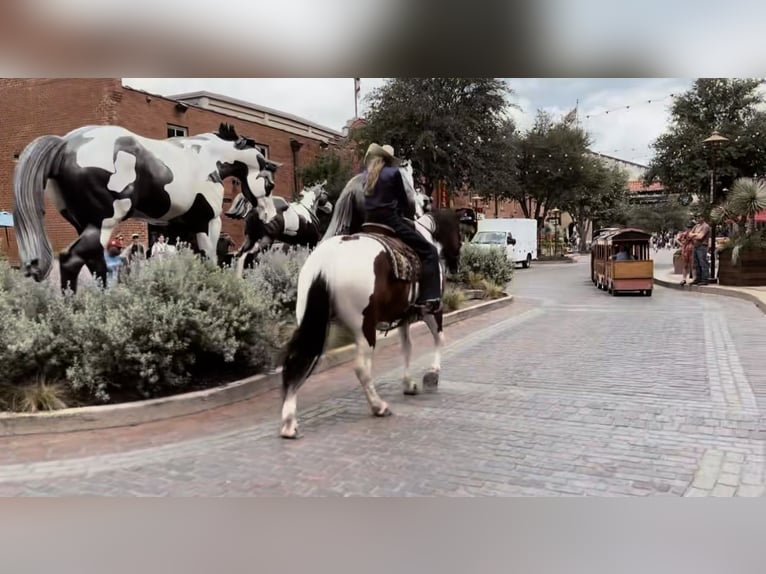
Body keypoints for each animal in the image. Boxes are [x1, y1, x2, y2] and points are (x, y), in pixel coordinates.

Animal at [12, 122, 280, 292]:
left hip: (86, 225)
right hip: (104, 222)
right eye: (269, 184)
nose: (271, 217)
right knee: (71, 258)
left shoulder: (181, 227)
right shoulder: (208, 222)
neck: (205, 158)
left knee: (94, 261)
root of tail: (66, 145)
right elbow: (209, 258)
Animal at [280, 205, 462, 438]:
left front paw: (408, 383)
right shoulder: (432, 309)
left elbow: (407, 348)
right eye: (459, 233)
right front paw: (432, 374)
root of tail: (326, 262)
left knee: (297, 359)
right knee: (361, 368)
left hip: (312, 321)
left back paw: (289, 422)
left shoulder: (403, 317)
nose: (456, 263)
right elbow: (439, 338)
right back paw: (378, 406)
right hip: (364, 327)